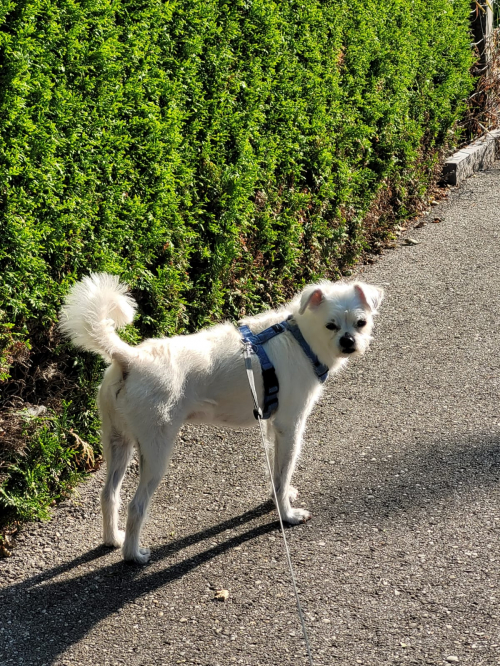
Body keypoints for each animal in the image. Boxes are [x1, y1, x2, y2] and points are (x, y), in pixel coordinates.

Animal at [60, 274, 384, 560]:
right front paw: (286, 515)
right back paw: (133, 555)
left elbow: (277, 472)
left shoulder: (273, 426)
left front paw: (278, 497)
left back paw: (113, 539)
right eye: (331, 325)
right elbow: (284, 472)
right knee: (136, 506)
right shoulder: (290, 427)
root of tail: (130, 358)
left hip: (117, 442)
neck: (300, 338)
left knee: (108, 495)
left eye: (361, 322)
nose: (349, 341)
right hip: (155, 450)